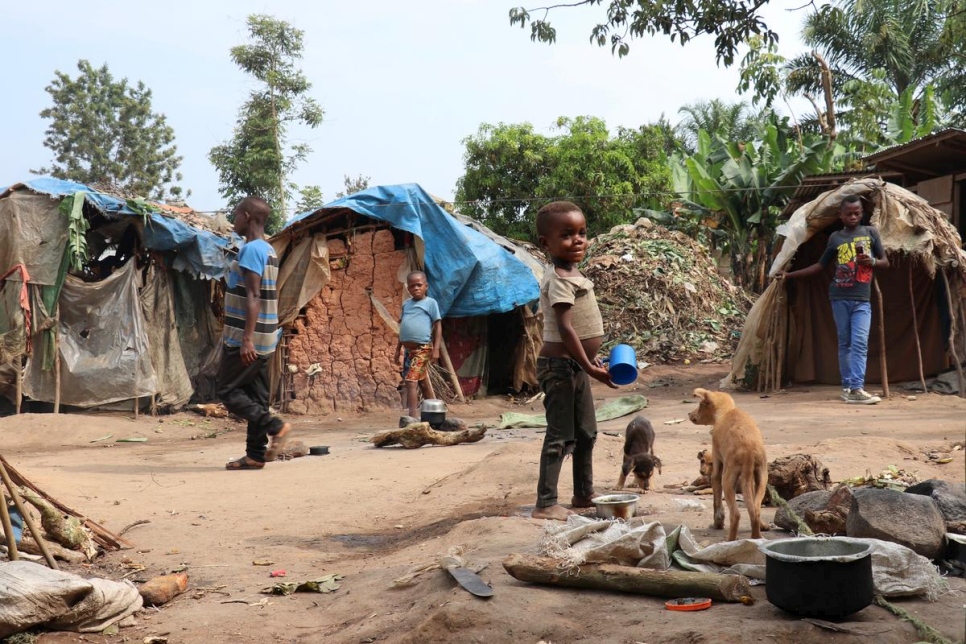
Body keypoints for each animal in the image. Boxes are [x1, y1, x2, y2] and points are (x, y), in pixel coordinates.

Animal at [688, 390, 772, 540]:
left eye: (700, 405)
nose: (689, 414)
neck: (727, 411)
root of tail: (748, 448)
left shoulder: (716, 466)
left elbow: (716, 502)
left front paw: (717, 524)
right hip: (761, 477)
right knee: (755, 510)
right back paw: (756, 537)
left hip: (728, 479)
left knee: (736, 514)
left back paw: (730, 541)